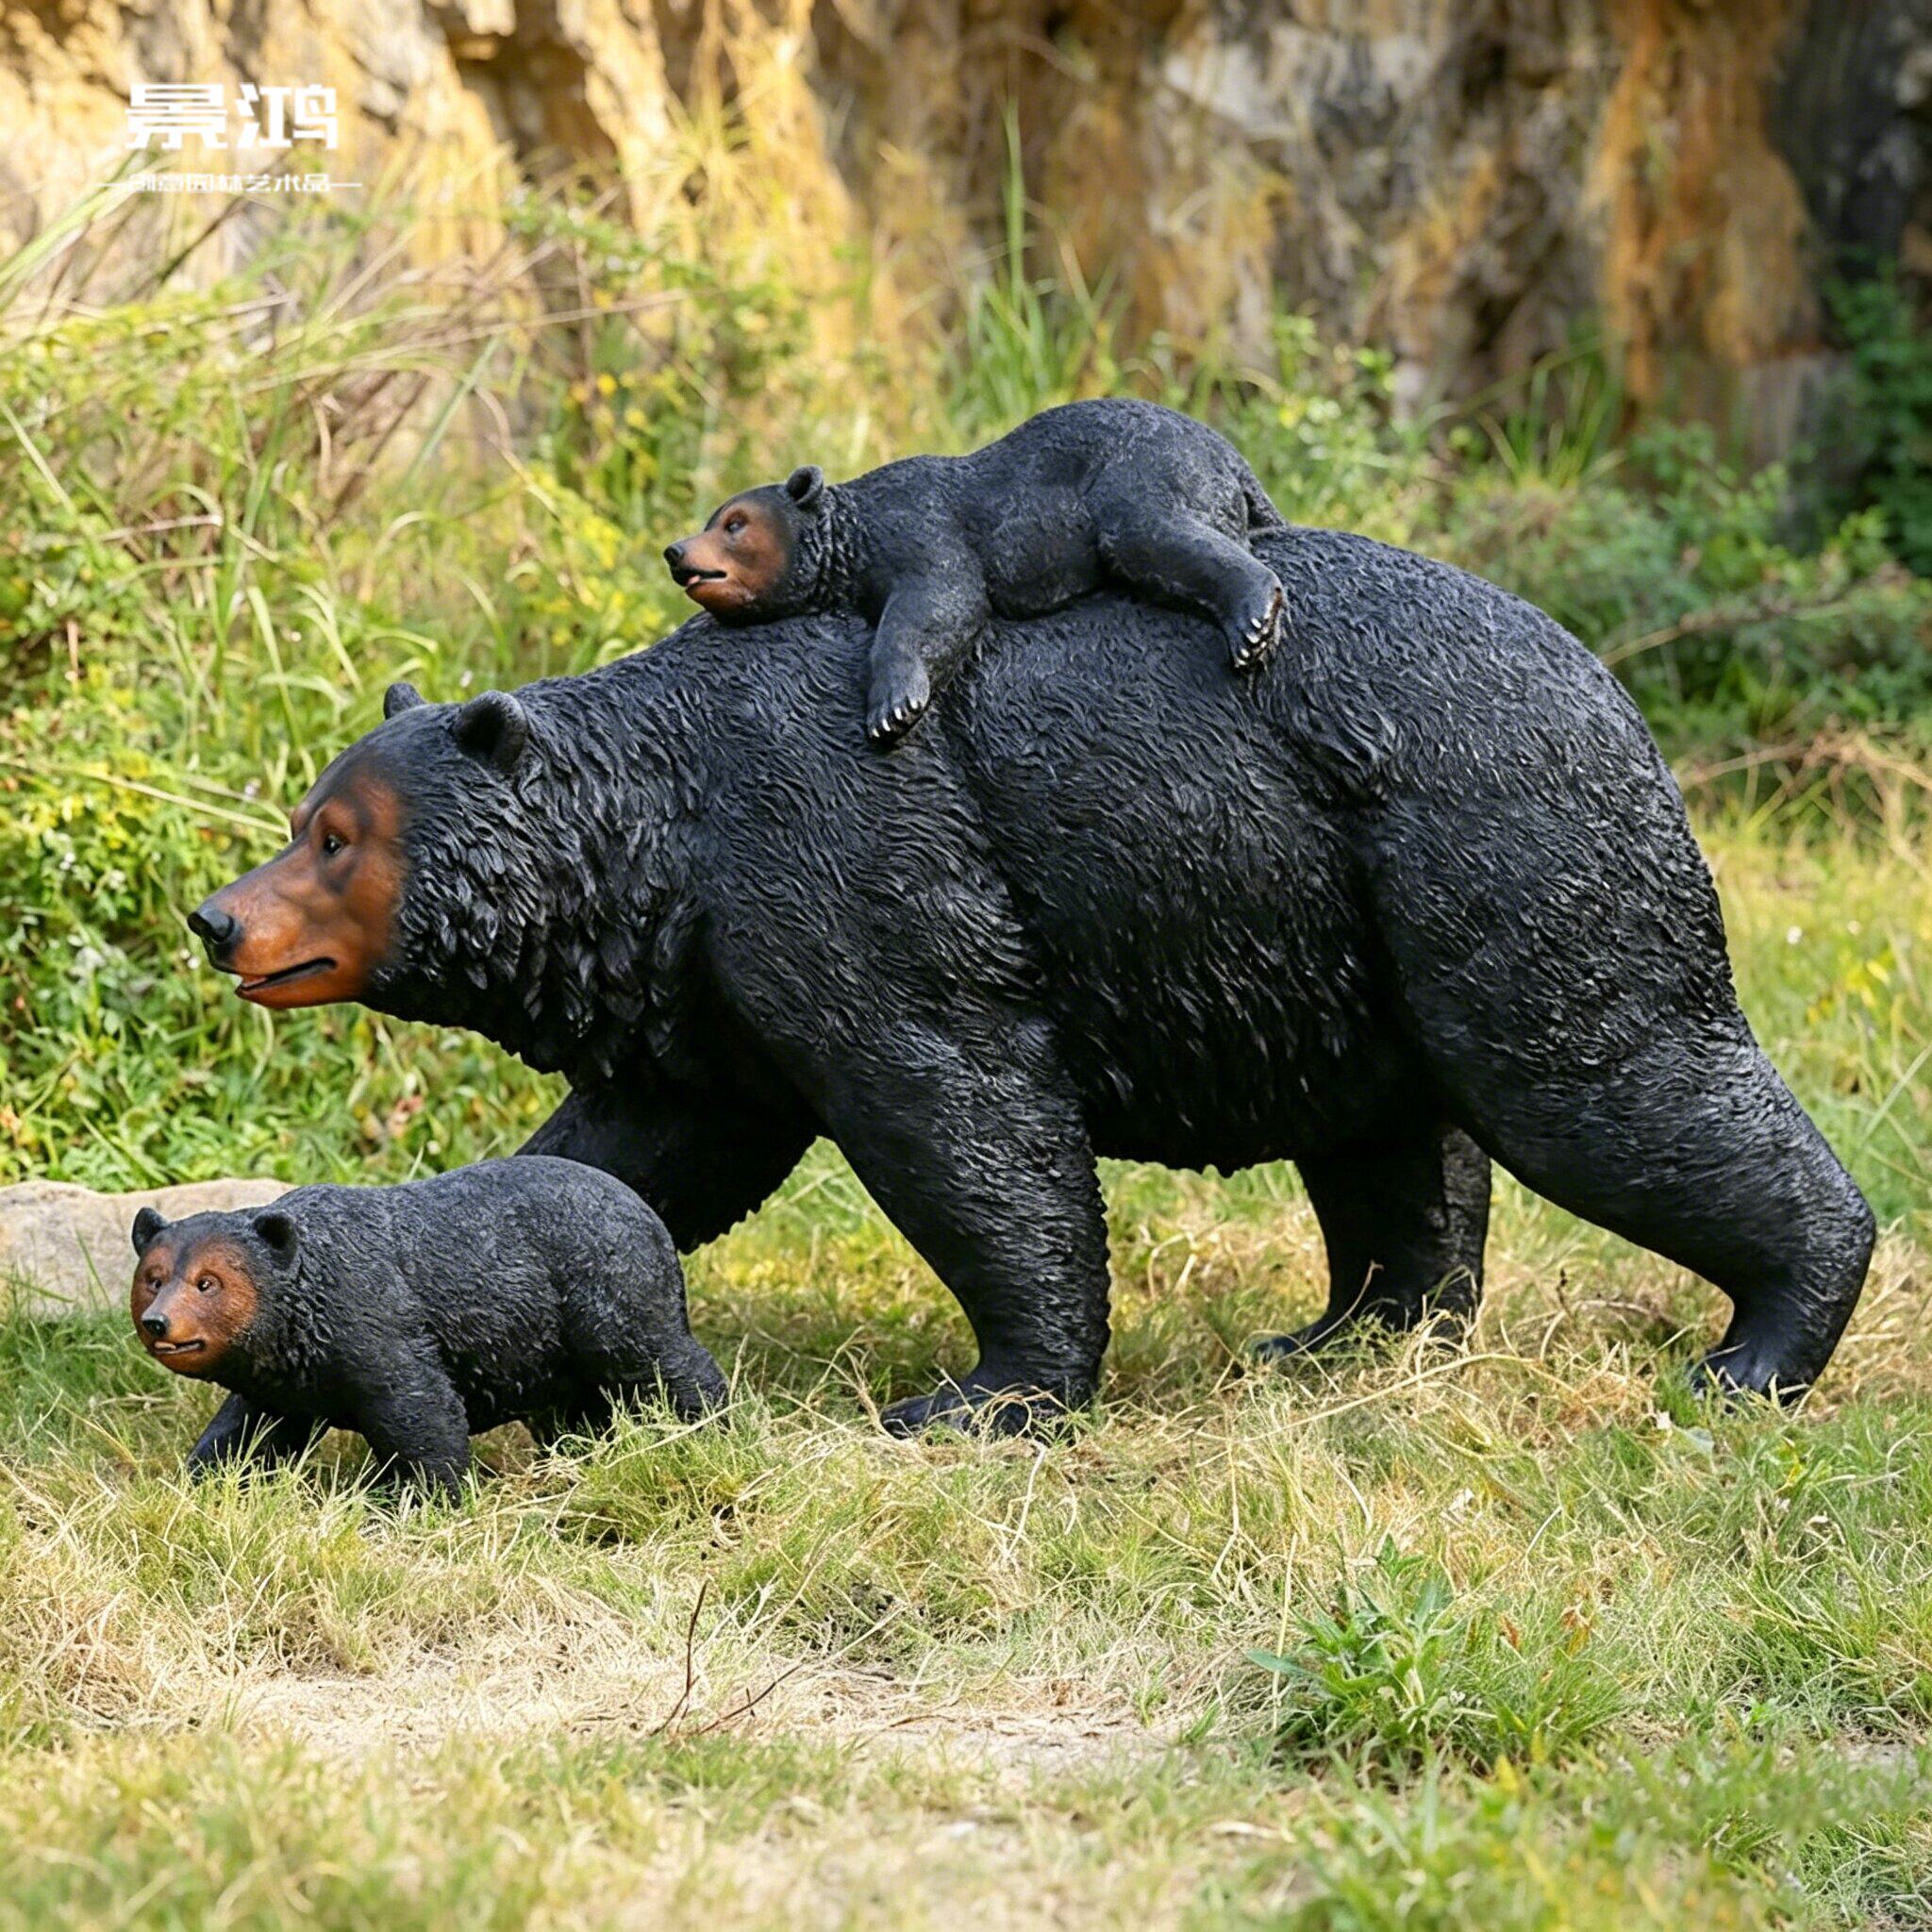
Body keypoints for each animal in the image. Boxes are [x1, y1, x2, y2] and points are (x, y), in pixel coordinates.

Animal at [130, 1157, 728, 1490]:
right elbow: (246, 1433)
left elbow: (421, 1409)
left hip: (605, 1287)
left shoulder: (373, 1320)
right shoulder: (284, 1378)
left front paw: (424, 1496)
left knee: (655, 1357)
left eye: (207, 1282)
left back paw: (709, 1430)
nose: (160, 1323)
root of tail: (651, 1217)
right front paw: (199, 1483)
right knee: (575, 1409)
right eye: (154, 1278)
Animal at [187, 519, 1876, 1437]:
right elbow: (639, 1154)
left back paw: (1760, 1346)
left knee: (1598, 1068)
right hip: (1336, 929)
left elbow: (962, 1109)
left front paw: (981, 1394)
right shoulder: (712, 985)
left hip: (1491, 839)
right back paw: (1348, 1337)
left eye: (335, 835)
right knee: (1395, 1139)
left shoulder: (847, 864)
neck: (663, 838)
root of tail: (1609, 680)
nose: (218, 918)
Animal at [662, 398, 1288, 744]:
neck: (855, 538)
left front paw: (892, 707)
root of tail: (1233, 455)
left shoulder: (919, 526)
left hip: (1146, 466)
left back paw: (1252, 622)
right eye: (712, 518)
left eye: (735, 523)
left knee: (1149, 531)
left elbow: (943, 602)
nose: (675, 551)